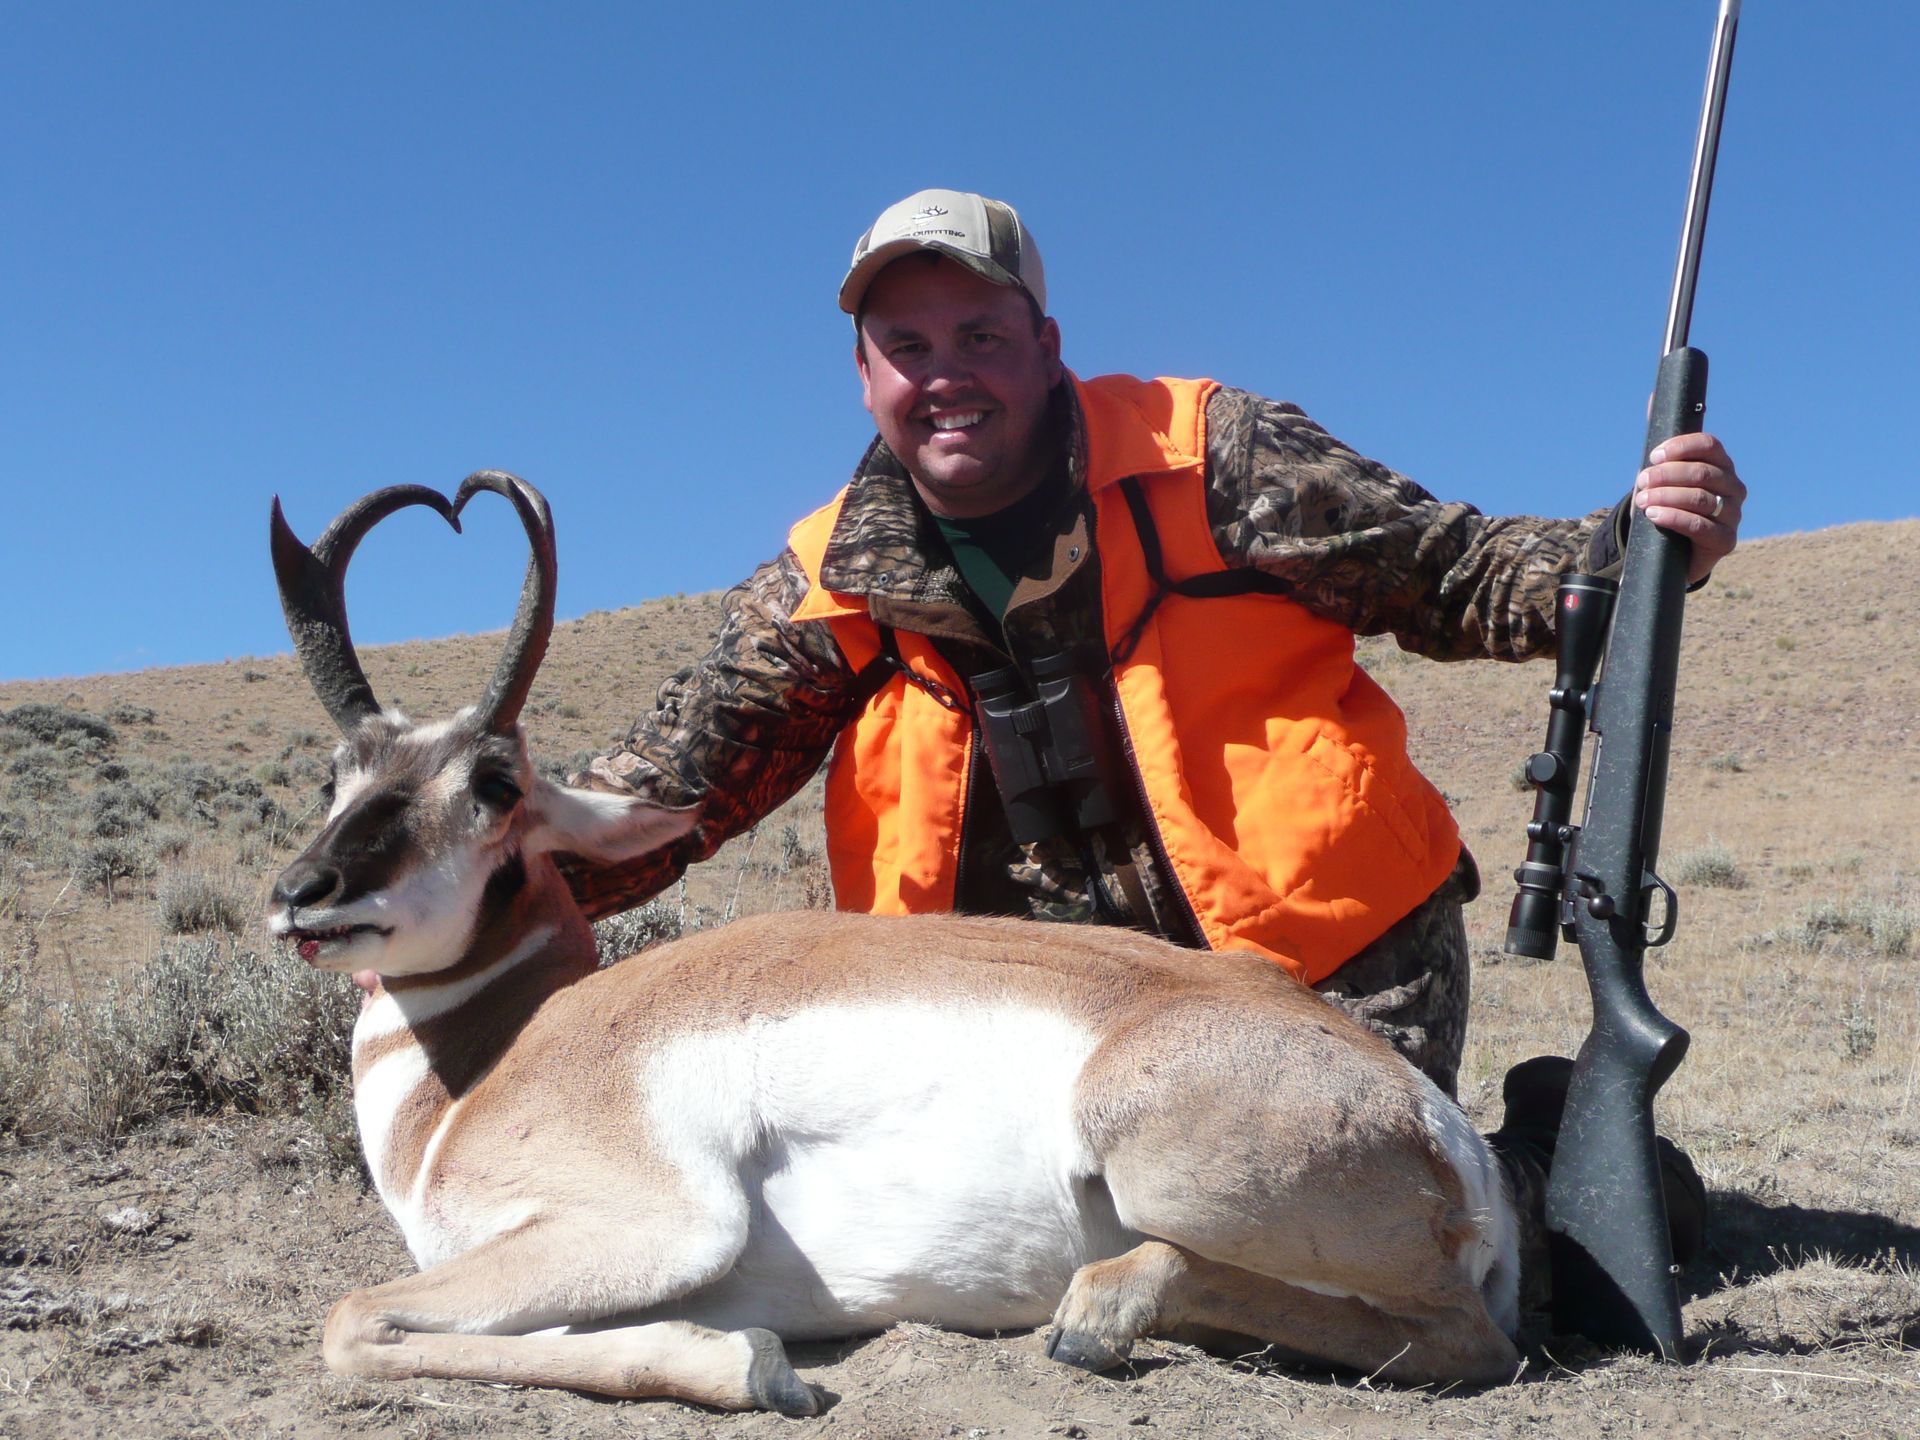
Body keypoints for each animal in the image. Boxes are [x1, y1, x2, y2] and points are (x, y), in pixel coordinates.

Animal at [264, 471, 1521, 1415]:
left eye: (492, 785)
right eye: (339, 776)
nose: (300, 894)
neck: (500, 1055)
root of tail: (1440, 1125)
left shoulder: (649, 1227)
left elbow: (351, 1320)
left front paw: (754, 1371)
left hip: (1152, 1156)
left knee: (1466, 1340)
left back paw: (1098, 1317)